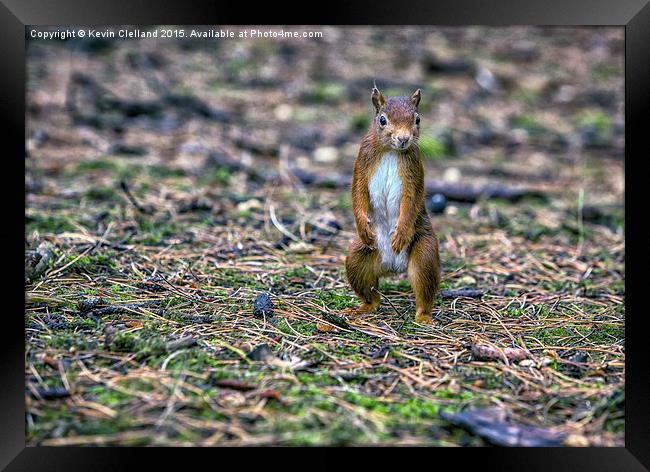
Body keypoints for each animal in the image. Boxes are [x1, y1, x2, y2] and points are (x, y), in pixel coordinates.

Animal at [344, 85, 440, 324]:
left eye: (417, 119)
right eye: (382, 120)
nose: (403, 138)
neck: (390, 151)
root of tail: (394, 267)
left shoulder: (414, 171)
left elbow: (411, 201)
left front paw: (400, 233)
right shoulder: (362, 162)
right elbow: (358, 194)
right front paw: (362, 226)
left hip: (424, 254)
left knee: (424, 288)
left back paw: (423, 317)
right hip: (358, 256)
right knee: (371, 293)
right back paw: (363, 308)